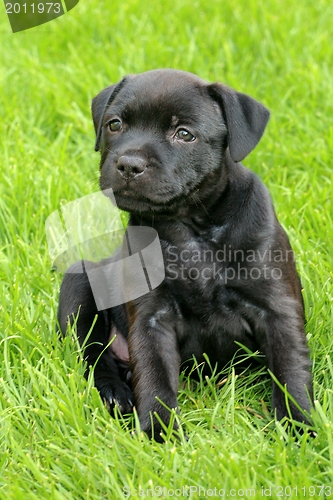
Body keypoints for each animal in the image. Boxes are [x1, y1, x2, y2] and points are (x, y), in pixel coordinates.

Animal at [57, 68, 312, 440]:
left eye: (184, 134)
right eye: (115, 124)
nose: (129, 164)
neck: (189, 227)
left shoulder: (277, 309)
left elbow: (290, 371)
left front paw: (300, 429)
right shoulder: (152, 318)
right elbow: (155, 379)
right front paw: (160, 436)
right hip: (77, 286)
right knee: (93, 355)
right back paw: (115, 394)